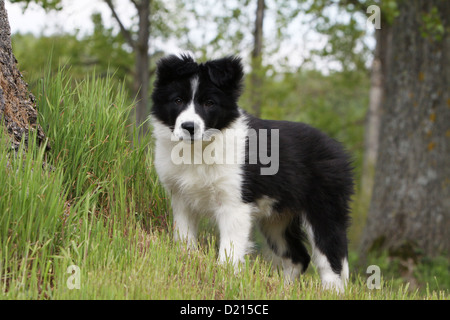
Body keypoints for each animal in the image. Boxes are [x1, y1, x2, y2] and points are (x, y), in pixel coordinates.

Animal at [151, 55, 356, 292]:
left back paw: (331, 291)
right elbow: (184, 239)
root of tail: (338, 150)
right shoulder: (181, 199)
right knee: (298, 257)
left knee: (331, 258)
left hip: (324, 209)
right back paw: (284, 290)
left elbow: (229, 252)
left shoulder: (234, 204)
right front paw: (189, 264)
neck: (199, 149)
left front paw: (224, 280)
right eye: (177, 100)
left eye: (209, 103)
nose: (189, 127)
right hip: (277, 218)